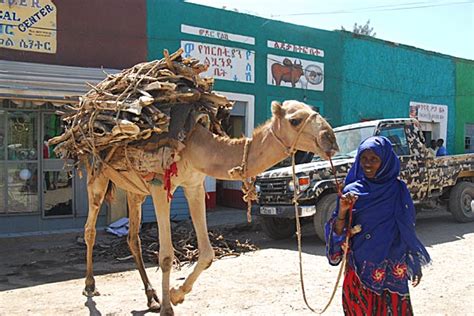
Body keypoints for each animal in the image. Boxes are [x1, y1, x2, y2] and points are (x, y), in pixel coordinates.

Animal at [83, 100, 338, 314]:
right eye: (295, 120)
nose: (330, 139)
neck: (195, 144)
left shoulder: (194, 185)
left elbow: (207, 253)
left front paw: (176, 295)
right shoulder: (160, 186)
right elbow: (165, 255)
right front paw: (168, 307)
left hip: (135, 189)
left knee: (133, 237)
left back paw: (151, 297)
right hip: (97, 173)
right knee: (90, 228)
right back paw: (90, 285)